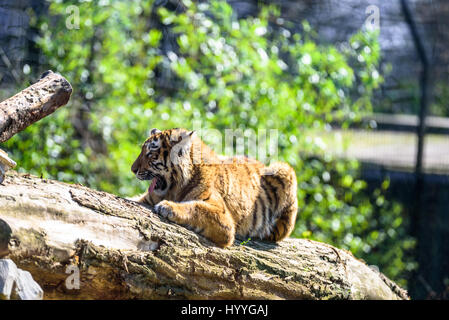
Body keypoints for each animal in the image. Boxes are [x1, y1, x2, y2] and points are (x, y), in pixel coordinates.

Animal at [130, 127, 298, 248]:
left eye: (150, 154)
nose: (133, 169)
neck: (173, 188)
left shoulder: (223, 217)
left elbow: (196, 208)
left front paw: (167, 207)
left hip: (283, 170)